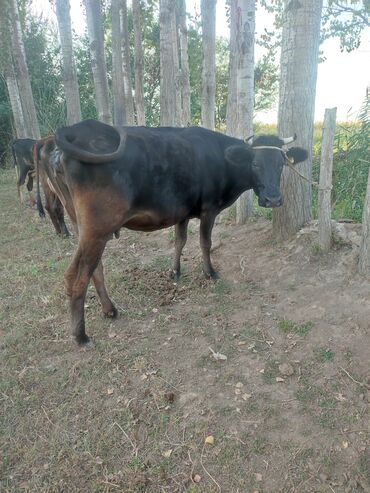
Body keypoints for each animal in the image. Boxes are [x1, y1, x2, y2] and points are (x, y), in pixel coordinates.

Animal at [34, 119, 308, 344]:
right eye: (255, 163)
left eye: (281, 164)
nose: (273, 199)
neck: (221, 158)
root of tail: (72, 131)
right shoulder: (209, 209)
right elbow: (205, 243)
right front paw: (210, 272)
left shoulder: (182, 212)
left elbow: (180, 241)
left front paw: (174, 271)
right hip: (97, 228)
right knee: (77, 276)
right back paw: (81, 336)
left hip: (83, 225)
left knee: (94, 269)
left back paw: (109, 310)